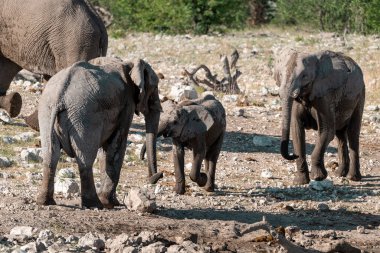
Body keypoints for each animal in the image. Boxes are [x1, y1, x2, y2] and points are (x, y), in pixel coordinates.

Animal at [274, 48, 366, 185]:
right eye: (280, 75)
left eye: (304, 76)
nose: (293, 155)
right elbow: (297, 132)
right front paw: (300, 182)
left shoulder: (325, 95)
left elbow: (326, 131)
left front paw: (318, 177)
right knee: (340, 135)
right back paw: (339, 174)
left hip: (360, 95)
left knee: (352, 133)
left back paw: (353, 178)